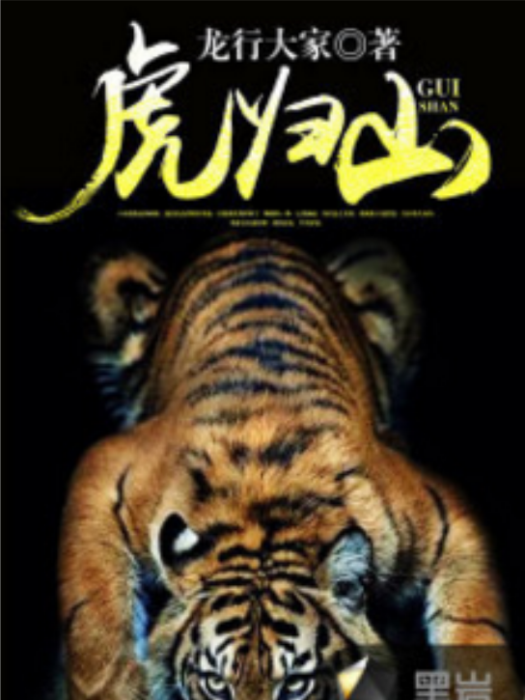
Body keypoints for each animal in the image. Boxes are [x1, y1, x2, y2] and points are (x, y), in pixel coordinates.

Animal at [59, 234, 521, 700]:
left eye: (296, 684)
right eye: (215, 683)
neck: (265, 515)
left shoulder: (444, 515)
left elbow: (476, 628)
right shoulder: (110, 471)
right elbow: (95, 622)